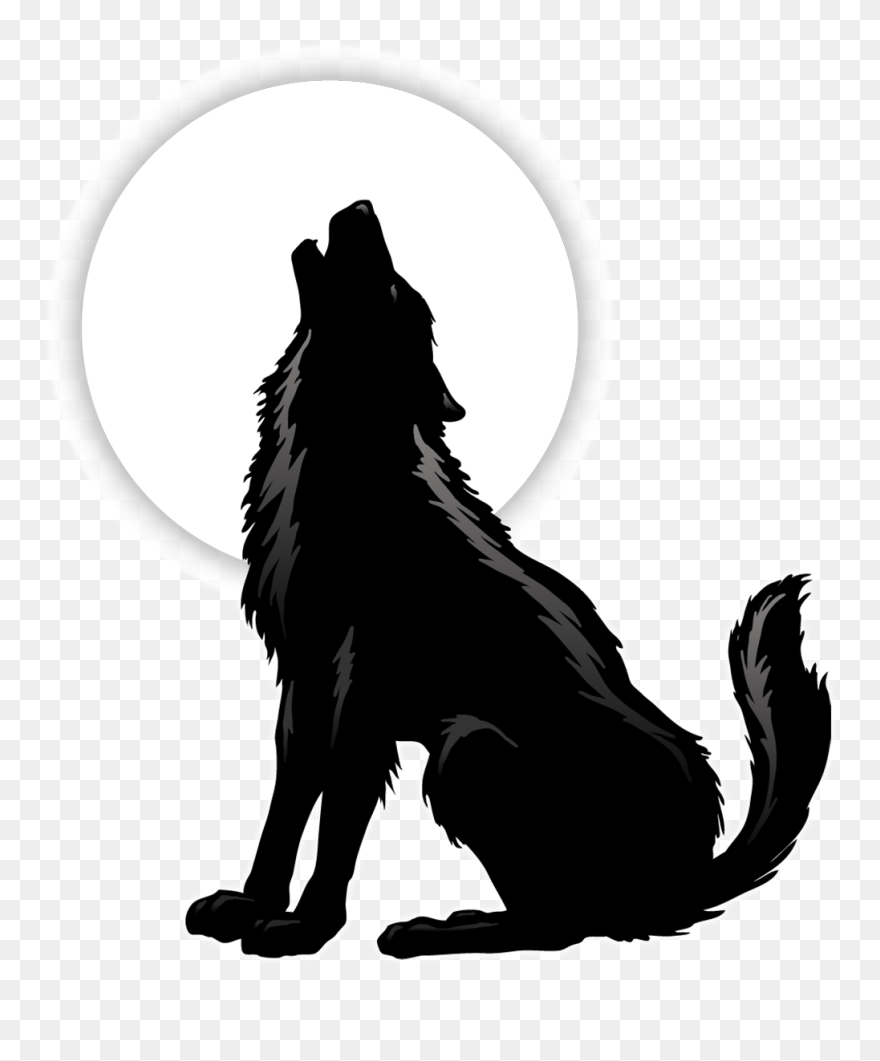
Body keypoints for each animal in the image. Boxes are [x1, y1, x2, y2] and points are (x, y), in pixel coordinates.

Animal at [186, 200, 831, 957]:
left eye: (394, 288)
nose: (364, 206)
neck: (349, 469)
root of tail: (685, 880)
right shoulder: (305, 683)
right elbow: (285, 808)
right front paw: (250, 901)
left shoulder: (362, 702)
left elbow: (337, 821)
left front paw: (305, 925)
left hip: (468, 748)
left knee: (558, 925)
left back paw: (439, 930)